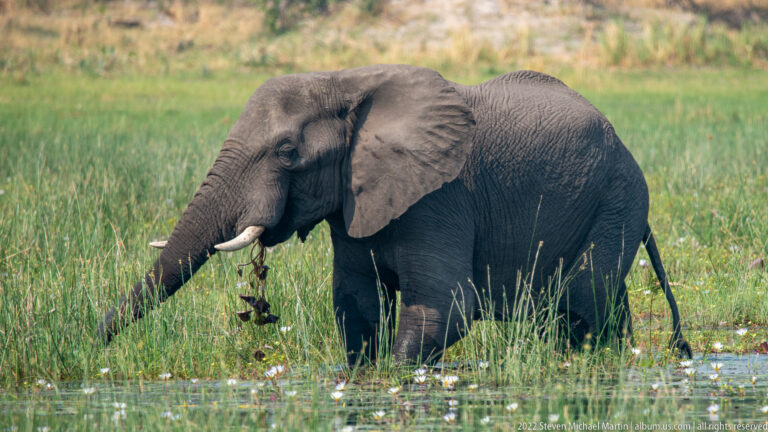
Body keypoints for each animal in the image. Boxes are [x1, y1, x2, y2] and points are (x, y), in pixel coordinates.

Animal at [98, 64, 692, 363]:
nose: (91, 334)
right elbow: (356, 304)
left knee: (583, 304)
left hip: (617, 199)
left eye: (287, 151)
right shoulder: (354, 199)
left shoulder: (441, 195)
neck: (345, 83)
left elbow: (445, 307)